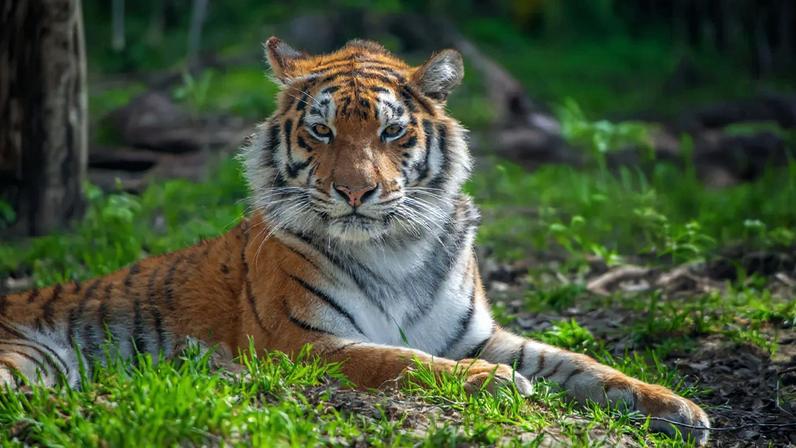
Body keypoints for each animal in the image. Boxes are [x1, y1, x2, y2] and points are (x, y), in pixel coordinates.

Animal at [0, 37, 710, 445]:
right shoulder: (300, 343)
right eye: (321, 132)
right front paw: (495, 384)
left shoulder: (475, 332)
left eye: (392, 132)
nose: (355, 192)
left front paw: (676, 407)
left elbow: (577, 362)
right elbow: (399, 361)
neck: (394, 247)